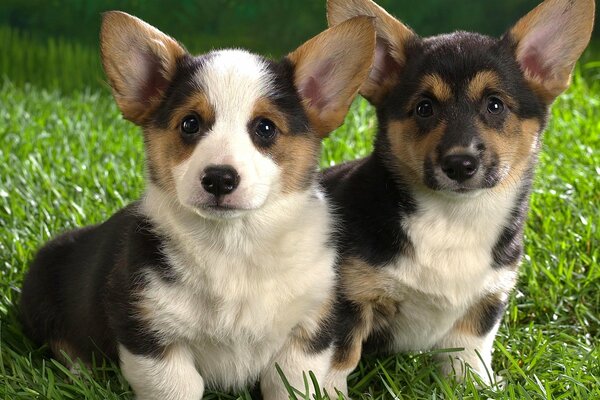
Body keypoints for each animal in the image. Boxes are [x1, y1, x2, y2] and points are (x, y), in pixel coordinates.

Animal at [18, 10, 376, 400]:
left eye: (265, 128)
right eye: (190, 124)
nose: (219, 179)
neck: (232, 245)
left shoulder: (308, 333)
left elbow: (291, 384)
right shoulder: (150, 337)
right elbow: (178, 386)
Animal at [322, 0, 592, 390]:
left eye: (495, 105)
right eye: (425, 107)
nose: (460, 164)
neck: (455, 218)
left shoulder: (486, 300)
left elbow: (469, 356)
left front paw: (479, 387)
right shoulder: (348, 299)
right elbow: (338, 360)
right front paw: (323, 392)